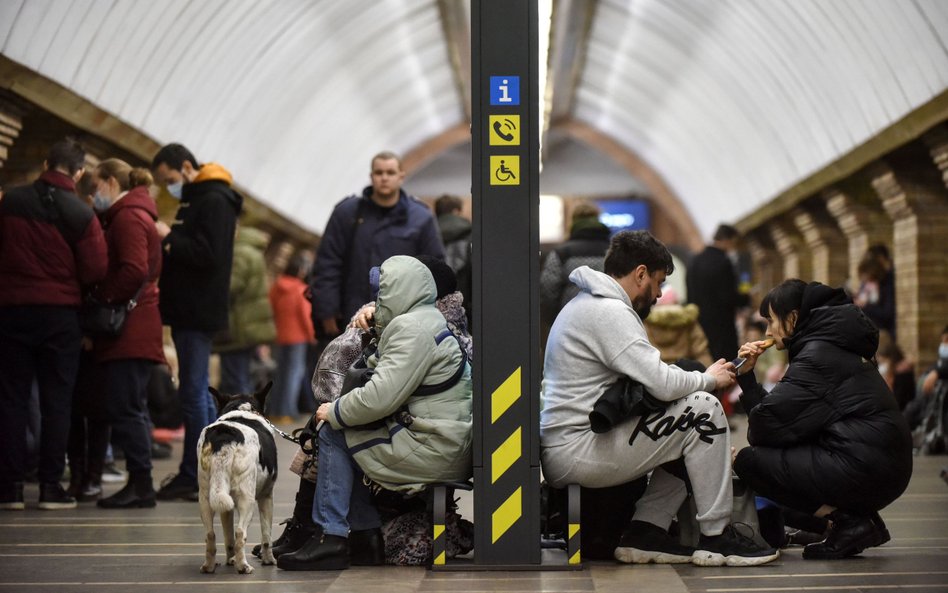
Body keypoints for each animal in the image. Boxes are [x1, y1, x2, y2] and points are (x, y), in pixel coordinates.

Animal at [197, 382, 276, 572]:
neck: (241, 409)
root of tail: (224, 436)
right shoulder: (266, 497)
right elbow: (266, 536)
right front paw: (268, 560)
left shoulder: (227, 508)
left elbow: (228, 539)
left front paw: (230, 559)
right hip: (247, 499)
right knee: (241, 533)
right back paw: (243, 567)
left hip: (206, 497)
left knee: (210, 534)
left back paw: (209, 566)